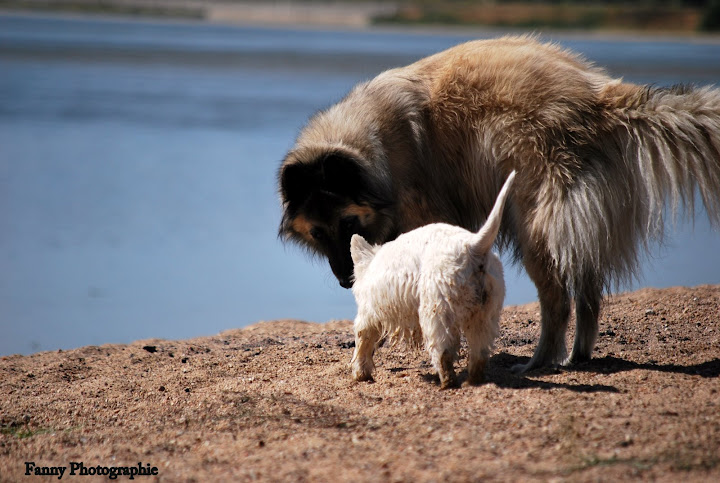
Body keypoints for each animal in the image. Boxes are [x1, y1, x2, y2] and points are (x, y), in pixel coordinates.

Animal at [350, 171, 516, 390]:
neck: (371, 264)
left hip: (437, 308)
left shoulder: (369, 312)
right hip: (485, 311)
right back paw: (472, 380)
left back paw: (446, 382)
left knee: (442, 350)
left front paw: (360, 374)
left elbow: (363, 339)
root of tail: (474, 246)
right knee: (479, 350)